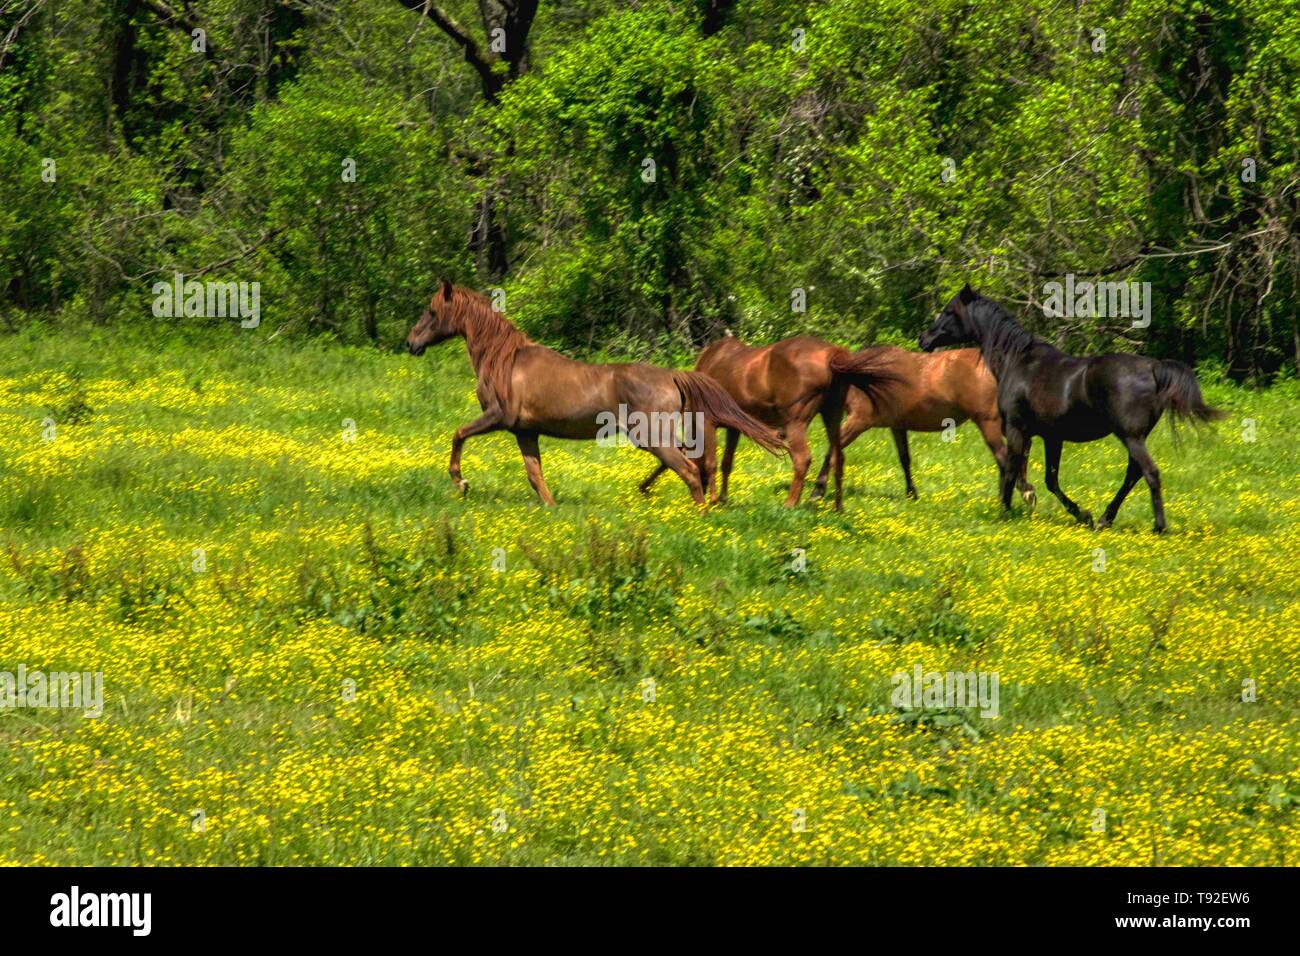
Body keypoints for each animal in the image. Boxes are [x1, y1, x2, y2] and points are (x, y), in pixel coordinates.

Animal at [400, 278, 780, 509]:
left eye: (432, 311)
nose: (410, 343)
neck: (503, 359)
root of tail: (672, 376)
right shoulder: (525, 430)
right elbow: (534, 473)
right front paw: (551, 507)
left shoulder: (498, 416)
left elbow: (458, 434)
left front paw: (460, 482)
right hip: (655, 437)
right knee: (695, 464)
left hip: (652, 436)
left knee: (689, 468)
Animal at [811, 345, 1034, 509]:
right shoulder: (897, 426)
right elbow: (905, 459)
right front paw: (912, 494)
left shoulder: (858, 421)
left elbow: (831, 452)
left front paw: (817, 491)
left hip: (988, 423)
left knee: (1005, 457)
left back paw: (1014, 497)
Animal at [920, 283, 1222, 538]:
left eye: (948, 311)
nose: (924, 339)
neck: (1017, 361)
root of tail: (1154, 367)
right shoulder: (1051, 437)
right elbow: (1048, 479)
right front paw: (1081, 514)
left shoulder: (1017, 430)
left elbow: (1011, 470)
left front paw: (1005, 511)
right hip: (1136, 437)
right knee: (1133, 474)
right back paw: (1104, 519)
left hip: (1130, 436)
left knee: (1150, 473)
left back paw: (1158, 527)